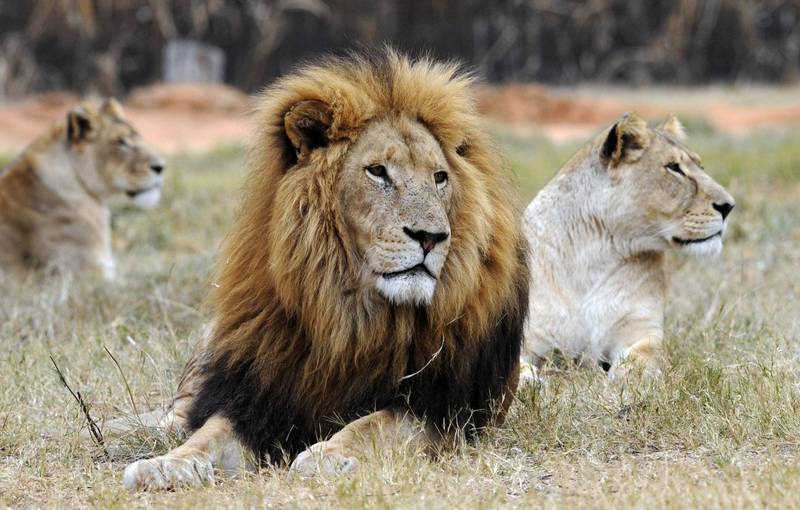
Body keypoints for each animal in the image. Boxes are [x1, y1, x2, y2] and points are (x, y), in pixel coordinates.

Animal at [122, 50, 528, 490]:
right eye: (378, 171)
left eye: (440, 177)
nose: (431, 237)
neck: (350, 313)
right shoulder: (258, 399)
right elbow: (208, 433)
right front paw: (165, 464)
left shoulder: (442, 409)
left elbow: (372, 426)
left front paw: (327, 456)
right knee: (180, 411)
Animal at [520, 112, 736, 382]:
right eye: (674, 168)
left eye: (700, 166)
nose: (729, 206)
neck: (592, 257)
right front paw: (528, 381)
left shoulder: (642, 330)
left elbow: (641, 359)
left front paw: (625, 379)